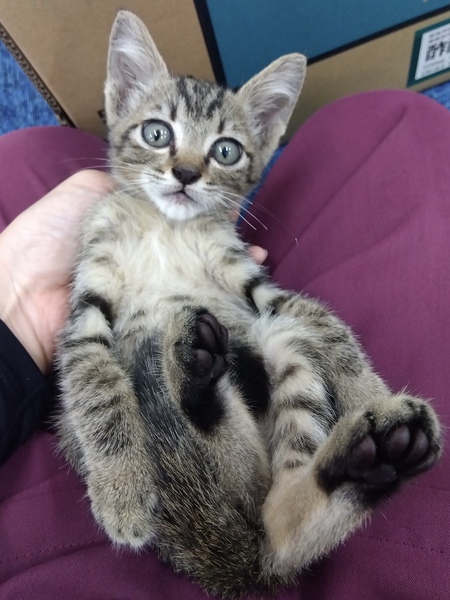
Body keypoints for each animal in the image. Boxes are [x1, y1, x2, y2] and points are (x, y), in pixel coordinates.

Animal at [56, 10, 442, 599]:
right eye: (156, 133)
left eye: (226, 150)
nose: (186, 173)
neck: (168, 228)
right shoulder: (89, 303)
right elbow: (95, 387)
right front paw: (121, 492)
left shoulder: (261, 290)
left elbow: (328, 326)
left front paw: (372, 395)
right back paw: (192, 371)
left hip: (278, 348)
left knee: (273, 525)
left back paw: (368, 451)